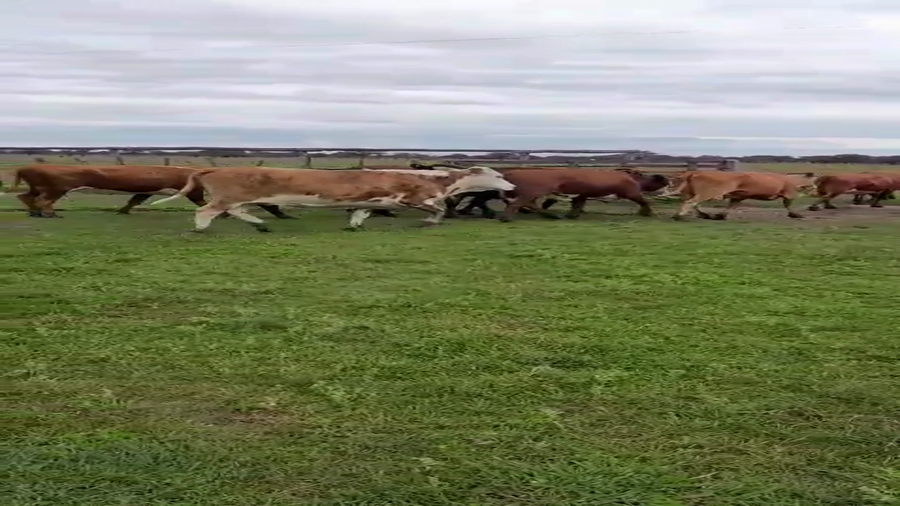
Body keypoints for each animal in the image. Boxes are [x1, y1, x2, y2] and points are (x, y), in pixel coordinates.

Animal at [491, 168, 661, 222]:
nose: (662, 177)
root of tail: (510, 172)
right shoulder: (632, 192)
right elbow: (644, 201)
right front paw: (647, 213)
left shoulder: (582, 195)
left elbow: (577, 205)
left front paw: (572, 216)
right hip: (532, 192)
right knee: (518, 204)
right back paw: (505, 219)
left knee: (527, 204)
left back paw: (553, 216)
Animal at [669, 171, 817, 221]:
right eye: (813, 185)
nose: (817, 192)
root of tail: (694, 172)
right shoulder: (788, 194)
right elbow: (789, 205)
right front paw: (795, 214)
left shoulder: (738, 196)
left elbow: (731, 206)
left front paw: (720, 216)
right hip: (708, 193)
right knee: (691, 203)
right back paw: (679, 216)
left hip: (692, 192)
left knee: (691, 203)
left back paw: (702, 215)